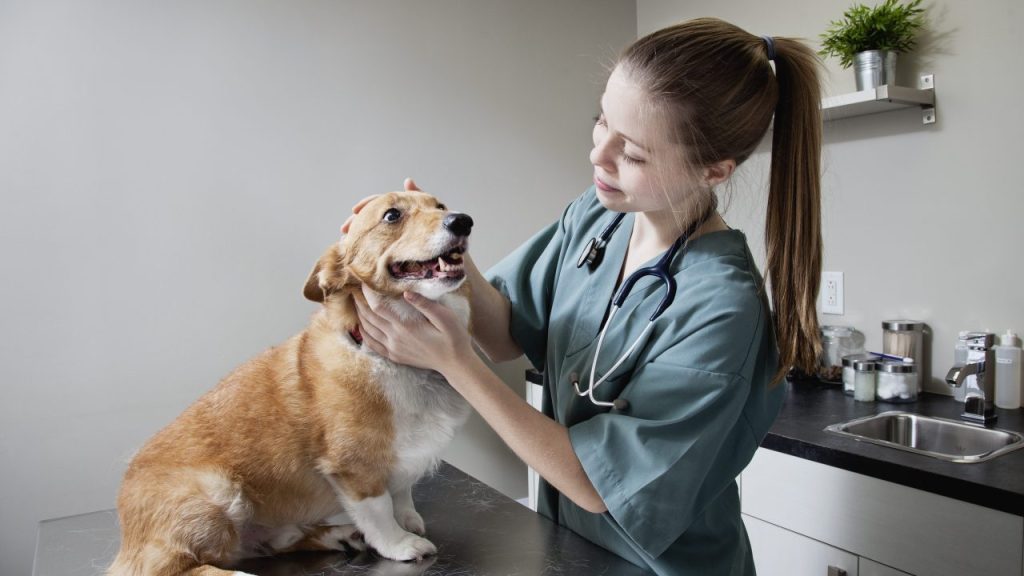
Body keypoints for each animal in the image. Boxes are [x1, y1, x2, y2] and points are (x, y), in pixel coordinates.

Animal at [110, 190, 477, 569]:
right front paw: (402, 543)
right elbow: (380, 512)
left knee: (271, 541)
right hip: (218, 492)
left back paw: (337, 535)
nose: (462, 221)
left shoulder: (403, 457)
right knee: (176, 567)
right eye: (392, 215)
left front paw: (408, 519)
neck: (394, 361)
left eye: (440, 206)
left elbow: (402, 493)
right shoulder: (355, 468)